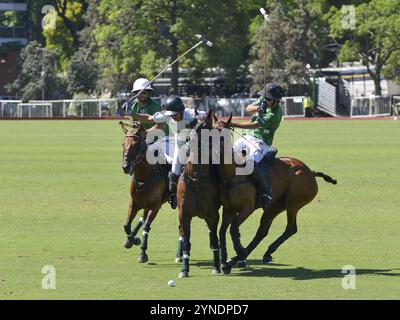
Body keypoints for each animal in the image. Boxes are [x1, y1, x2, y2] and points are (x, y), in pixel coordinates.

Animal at [119, 120, 169, 262]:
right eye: (123, 144)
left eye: (136, 145)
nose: (126, 167)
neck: (144, 176)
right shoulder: (134, 203)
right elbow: (126, 225)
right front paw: (133, 239)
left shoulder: (155, 206)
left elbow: (146, 227)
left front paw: (143, 253)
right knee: (142, 217)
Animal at [177, 109, 222, 278]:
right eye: (190, 124)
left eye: (204, 126)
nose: (189, 139)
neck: (196, 178)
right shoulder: (184, 214)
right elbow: (186, 242)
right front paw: (184, 270)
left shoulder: (213, 215)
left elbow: (215, 239)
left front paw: (216, 267)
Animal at [214, 115, 336, 272]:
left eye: (221, 133)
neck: (232, 174)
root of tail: (311, 172)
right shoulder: (228, 208)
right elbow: (222, 231)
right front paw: (226, 260)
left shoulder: (247, 208)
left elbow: (234, 227)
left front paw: (238, 252)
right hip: (275, 206)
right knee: (262, 231)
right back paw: (245, 256)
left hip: (294, 202)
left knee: (290, 229)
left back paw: (252, 254)